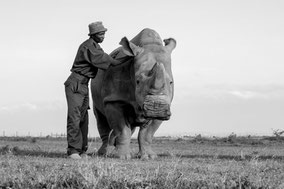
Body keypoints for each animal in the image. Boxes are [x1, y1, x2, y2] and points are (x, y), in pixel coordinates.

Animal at [91, 28, 176, 159]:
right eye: (138, 81)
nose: (156, 108)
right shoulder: (114, 100)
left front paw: (149, 157)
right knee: (100, 118)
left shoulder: (166, 105)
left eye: (171, 82)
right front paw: (122, 157)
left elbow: (147, 134)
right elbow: (122, 130)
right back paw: (104, 153)